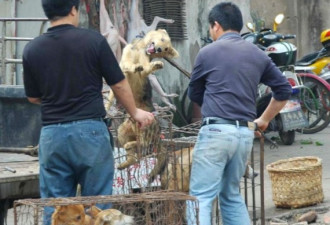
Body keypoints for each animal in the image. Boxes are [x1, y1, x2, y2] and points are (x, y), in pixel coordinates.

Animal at [114, 29, 180, 181]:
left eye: (166, 48)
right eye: (162, 40)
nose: (159, 49)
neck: (140, 49)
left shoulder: (143, 68)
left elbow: (144, 69)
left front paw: (153, 65)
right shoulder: (124, 62)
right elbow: (128, 66)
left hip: (144, 129)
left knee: (143, 145)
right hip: (123, 131)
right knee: (136, 155)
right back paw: (125, 161)